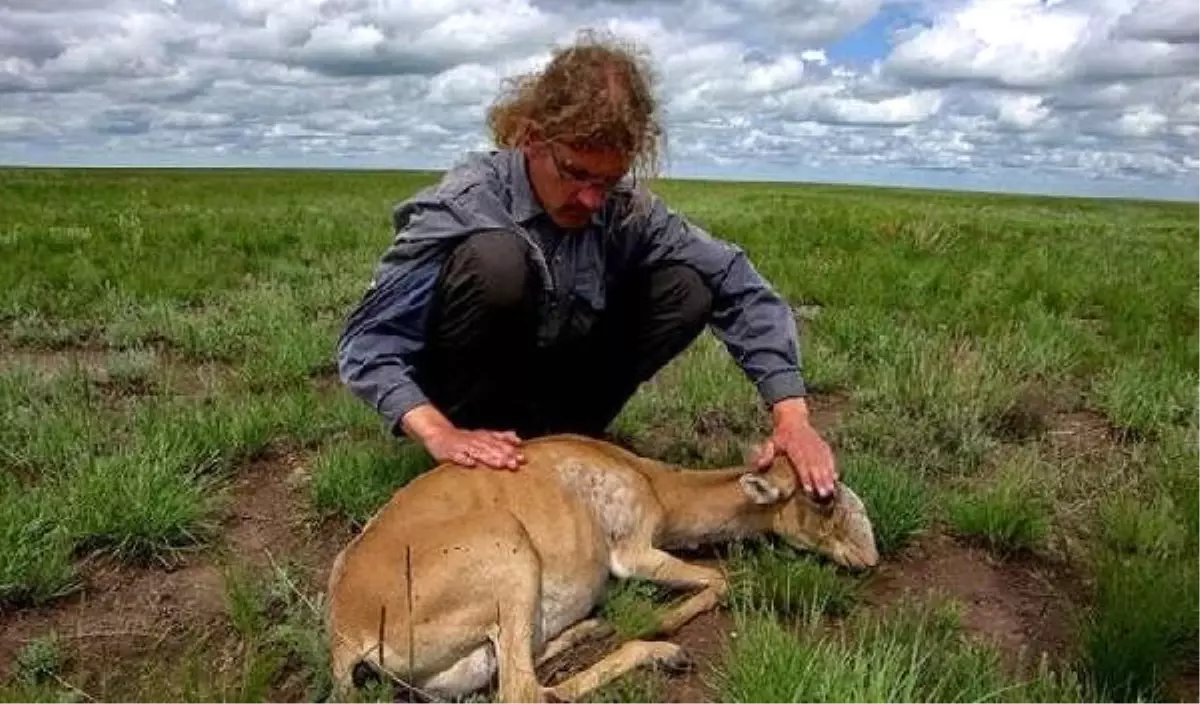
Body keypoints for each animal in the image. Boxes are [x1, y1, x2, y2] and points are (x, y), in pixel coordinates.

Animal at [324, 431, 878, 700]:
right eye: (823, 498)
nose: (870, 559)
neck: (653, 482)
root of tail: (348, 633)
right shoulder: (634, 552)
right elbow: (721, 578)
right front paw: (665, 621)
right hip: (510, 557)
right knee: (525, 693)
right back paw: (661, 651)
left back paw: (591, 630)